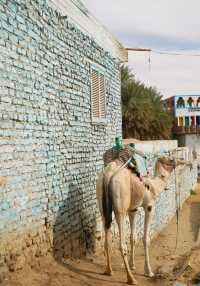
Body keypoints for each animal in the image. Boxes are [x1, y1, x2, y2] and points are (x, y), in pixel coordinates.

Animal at [96, 155, 187, 284]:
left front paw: (133, 265)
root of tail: (108, 174)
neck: (154, 185)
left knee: (106, 238)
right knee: (121, 244)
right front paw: (148, 271)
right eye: (170, 158)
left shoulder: (132, 210)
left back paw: (109, 271)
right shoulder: (149, 206)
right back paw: (131, 279)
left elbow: (133, 237)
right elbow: (145, 239)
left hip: (102, 203)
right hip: (120, 206)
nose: (182, 160)